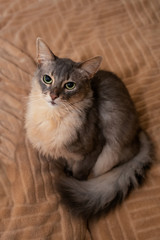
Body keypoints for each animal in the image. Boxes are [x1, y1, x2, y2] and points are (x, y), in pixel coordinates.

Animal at [24, 38, 152, 219]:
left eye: (70, 85)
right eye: (47, 79)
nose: (53, 96)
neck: (53, 117)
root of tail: (139, 134)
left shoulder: (93, 150)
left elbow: (79, 174)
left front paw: (73, 179)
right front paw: (65, 167)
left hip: (109, 155)